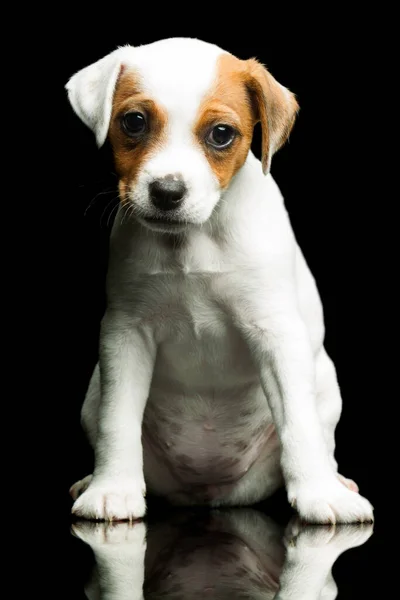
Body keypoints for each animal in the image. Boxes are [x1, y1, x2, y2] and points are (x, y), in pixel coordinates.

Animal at [66, 38, 376, 524]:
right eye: (134, 122)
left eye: (221, 134)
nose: (167, 193)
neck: (193, 241)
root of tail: (208, 493)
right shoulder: (125, 335)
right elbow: (119, 420)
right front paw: (112, 489)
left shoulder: (276, 333)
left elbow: (299, 423)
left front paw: (320, 494)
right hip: (94, 393)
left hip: (326, 385)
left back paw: (335, 480)